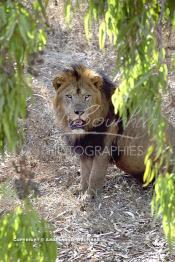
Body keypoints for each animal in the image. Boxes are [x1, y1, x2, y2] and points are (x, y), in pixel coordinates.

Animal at [52, 64, 175, 196]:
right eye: (69, 96)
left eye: (87, 97)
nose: (79, 112)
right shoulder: (87, 148)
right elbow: (85, 174)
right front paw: (81, 191)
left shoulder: (103, 149)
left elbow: (95, 175)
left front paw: (90, 196)